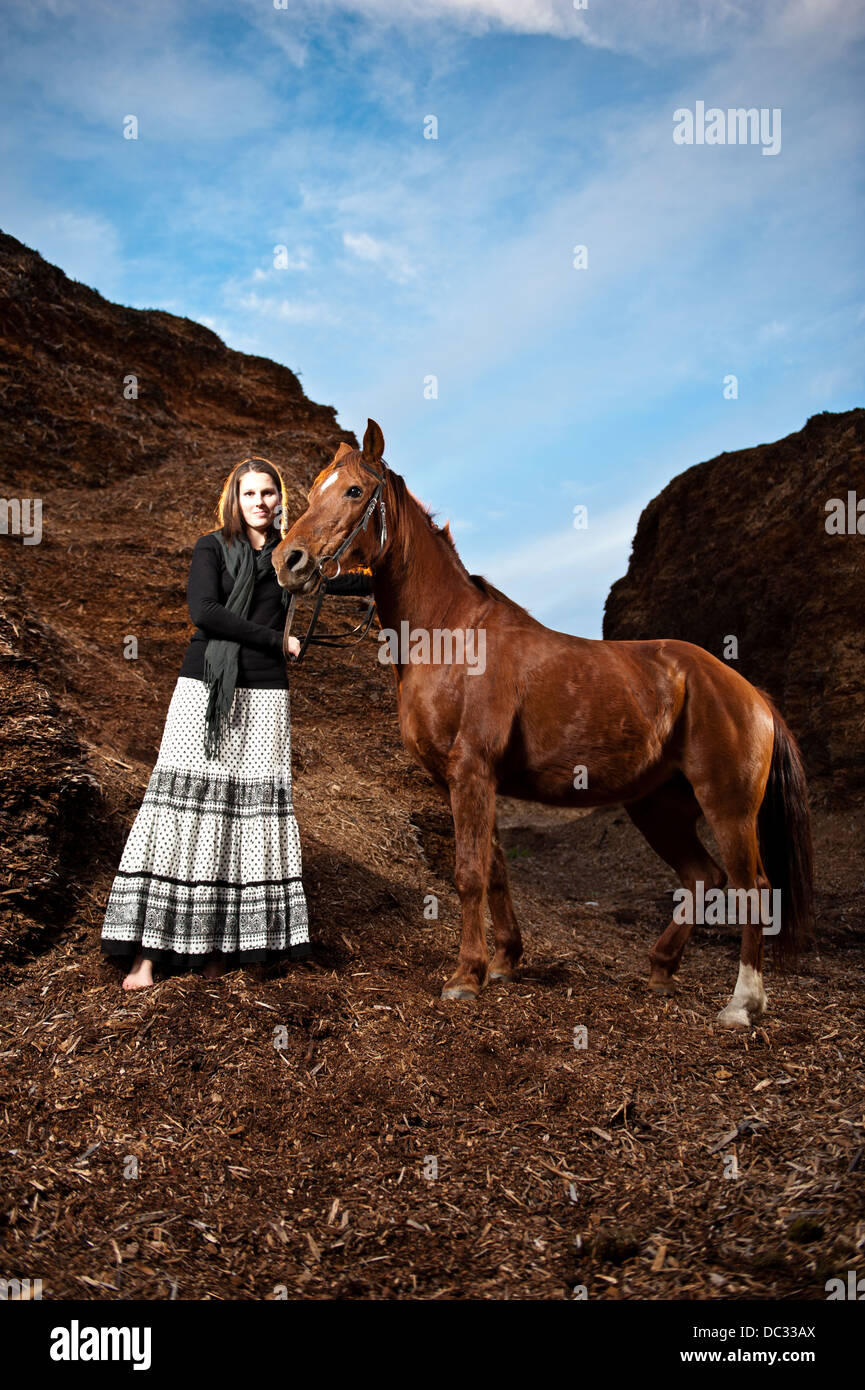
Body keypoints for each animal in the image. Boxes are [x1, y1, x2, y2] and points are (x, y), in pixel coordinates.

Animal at [273, 417, 817, 1028]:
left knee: (751, 887)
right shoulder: (469, 782)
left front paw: (465, 976)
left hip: (727, 806)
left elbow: (469, 872)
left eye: (353, 491)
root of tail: (750, 694)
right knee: (703, 877)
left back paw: (742, 1002)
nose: (288, 561)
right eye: (316, 487)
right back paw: (659, 970)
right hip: (658, 805)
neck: (451, 634)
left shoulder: (471, 773)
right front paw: (505, 962)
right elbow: (496, 868)